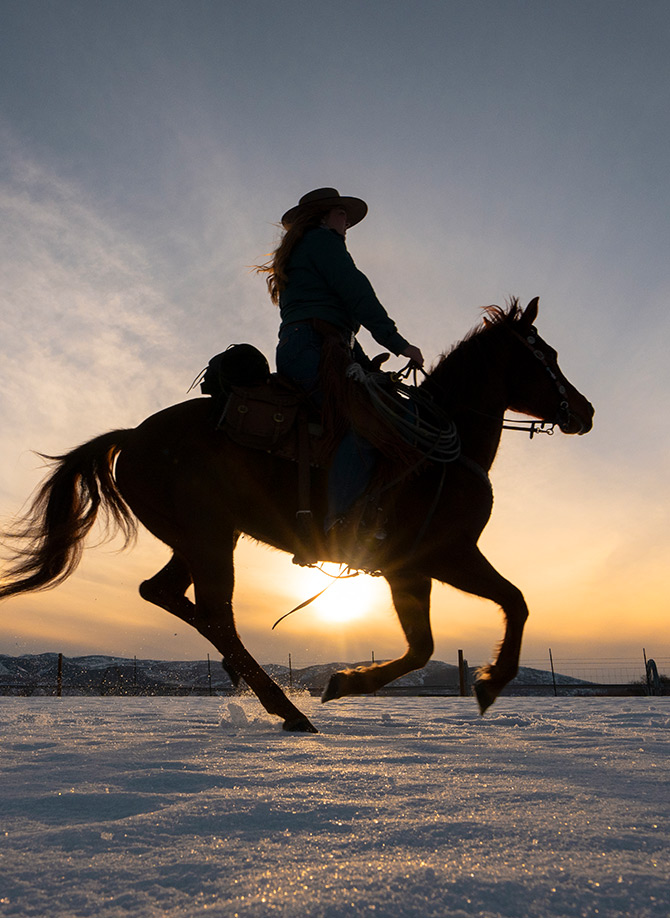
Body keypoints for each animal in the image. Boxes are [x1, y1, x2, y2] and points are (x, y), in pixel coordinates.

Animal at [2, 300, 596, 732]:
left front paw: (347, 682)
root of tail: (132, 437)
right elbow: (511, 604)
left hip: (200, 538)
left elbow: (427, 644)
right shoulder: (446, 554)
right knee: (215, 612)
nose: (586, 412)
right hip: (209, 536)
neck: (436, 454)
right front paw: (491, 681)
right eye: (547, 355)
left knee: (165, 593)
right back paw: (286, 709)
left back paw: (251, 683)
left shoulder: (411, 569)